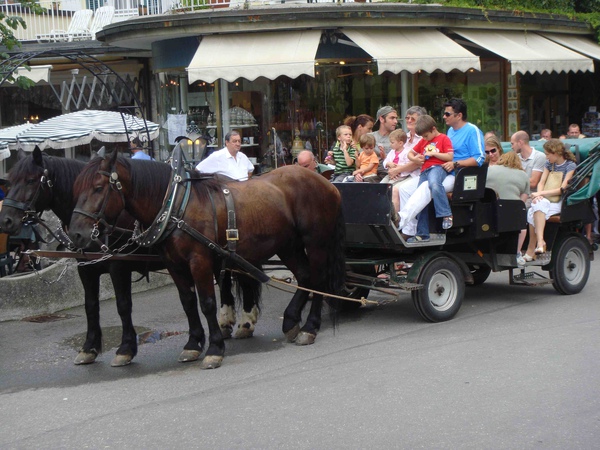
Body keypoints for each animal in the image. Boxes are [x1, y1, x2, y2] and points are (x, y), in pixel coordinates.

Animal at [0, 149, 262, 368]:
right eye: (10, 181)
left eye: (31, 180)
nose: (6, 221)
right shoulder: (85, 267)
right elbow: (90, 306)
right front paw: (89, 348)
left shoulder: (119, 266)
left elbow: (123, 305)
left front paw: (125, 348)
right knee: (227, 281)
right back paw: (228, 322)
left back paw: (246, 321)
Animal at [67, 150, 344, 370]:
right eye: (76, 188)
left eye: (98, 188)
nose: (76, 234)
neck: (177, 205)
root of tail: (327, 183)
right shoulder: (174, 264)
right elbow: (188, 302)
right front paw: (193, 343)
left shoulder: (199, 261)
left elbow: (208, 303)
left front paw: (214, 349)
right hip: (288, 245)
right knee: (305, 277)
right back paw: (291, 320)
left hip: (316, 243)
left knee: (318, 280)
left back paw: (310, 327)